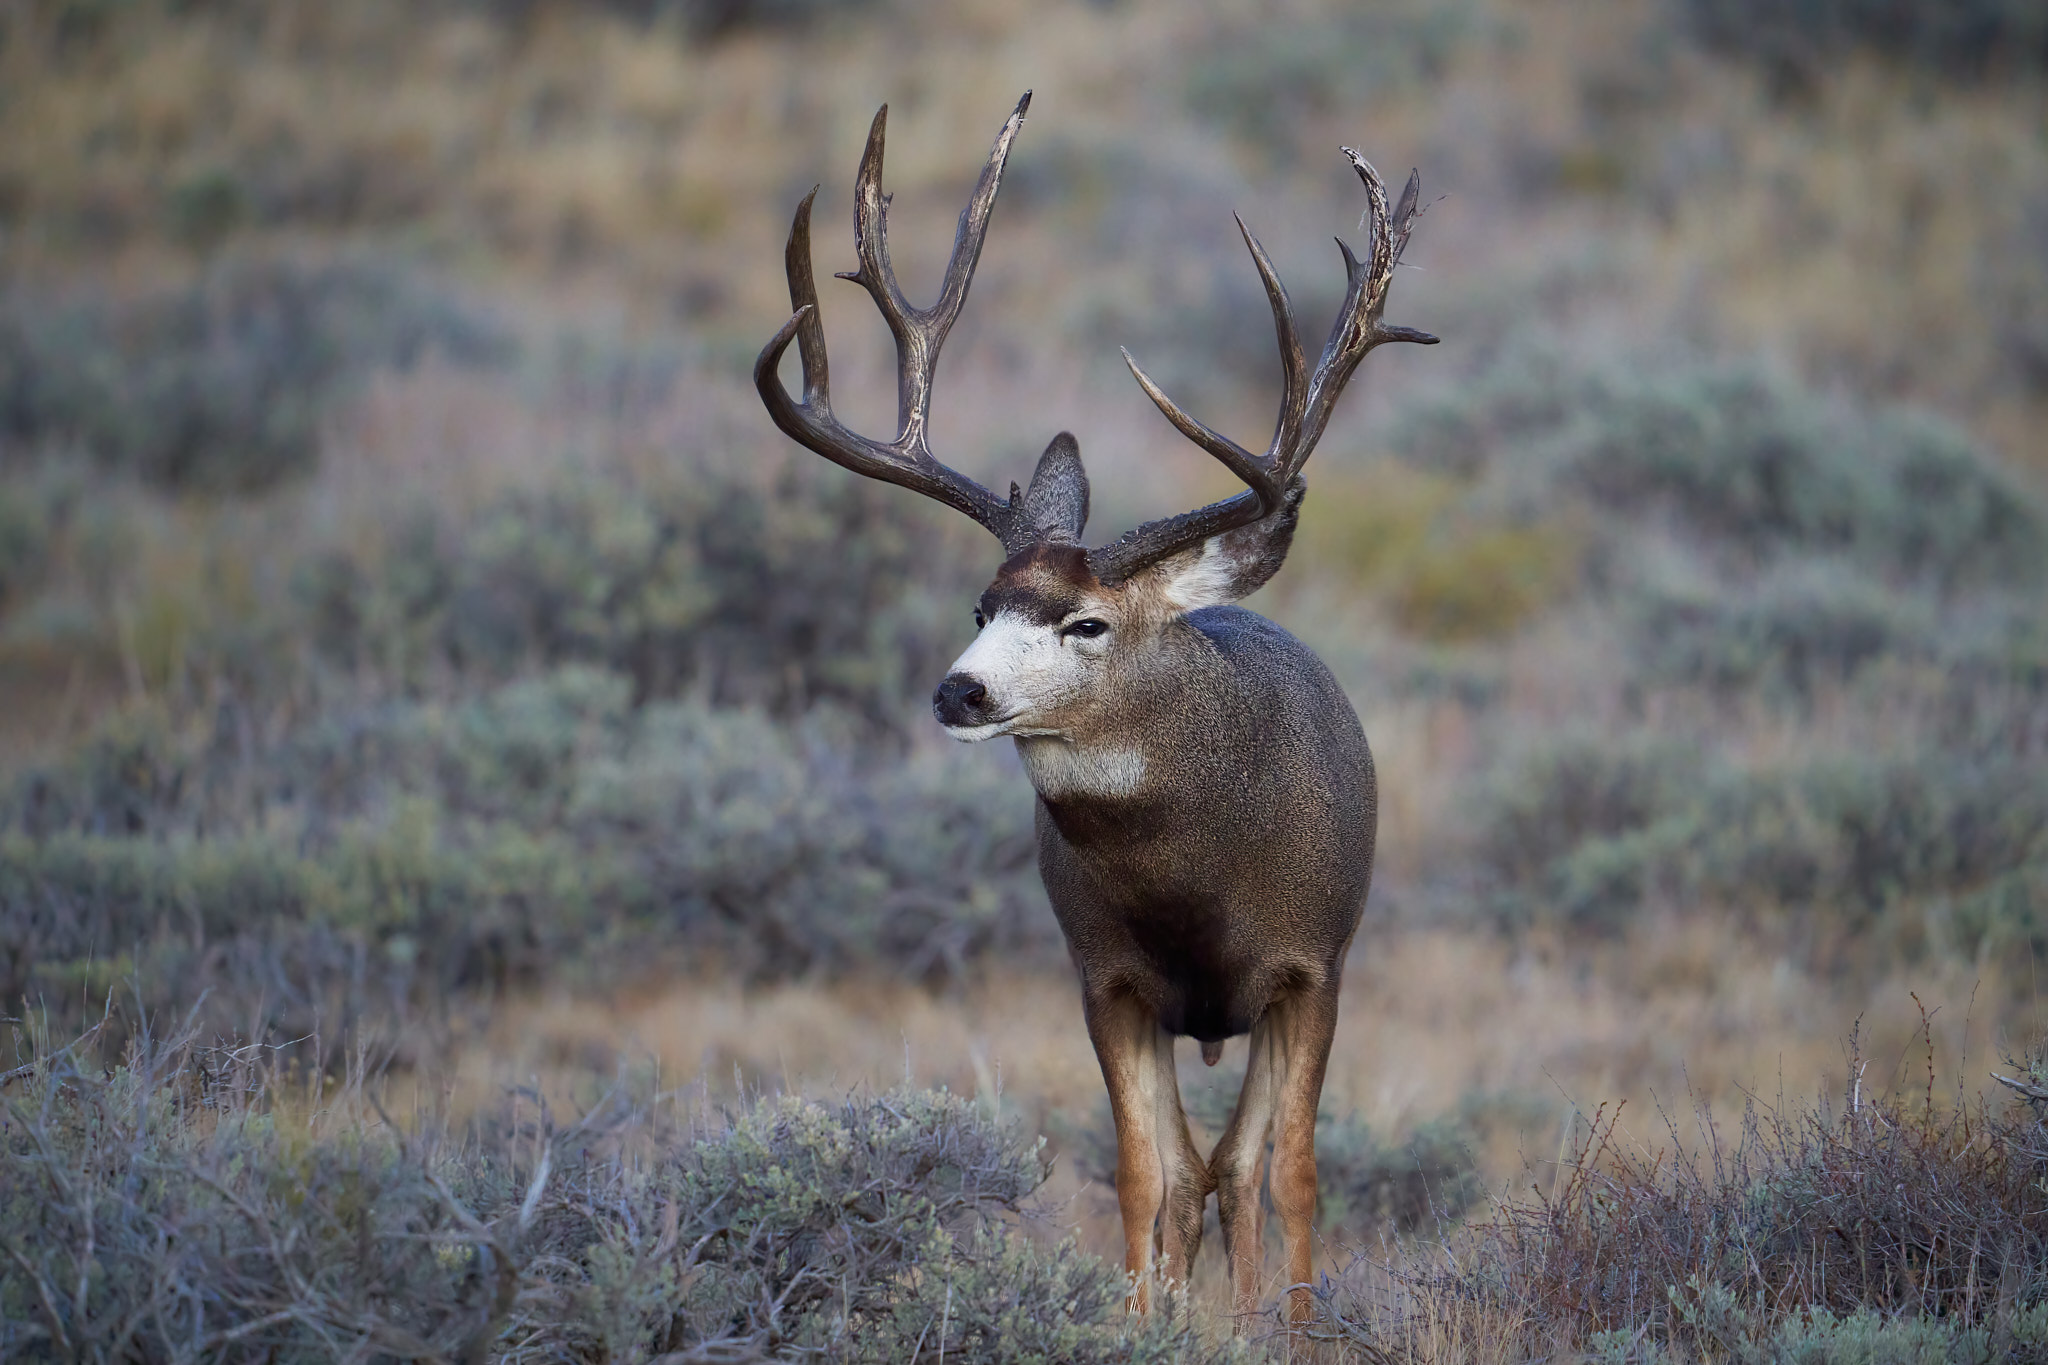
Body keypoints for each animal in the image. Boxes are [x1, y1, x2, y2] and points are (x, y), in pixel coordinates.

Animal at [753, 92, 1435, 1324]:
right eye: (981, 602)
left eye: (1086, 623)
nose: (959, 687)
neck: (1196, 889)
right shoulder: (1104, 976)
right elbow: (1143, 1172)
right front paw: (1139, 1323)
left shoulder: (1312, 960)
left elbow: (1292, 1169)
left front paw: (1287, 1329)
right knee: (1198, 1170)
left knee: (1244, 1166)